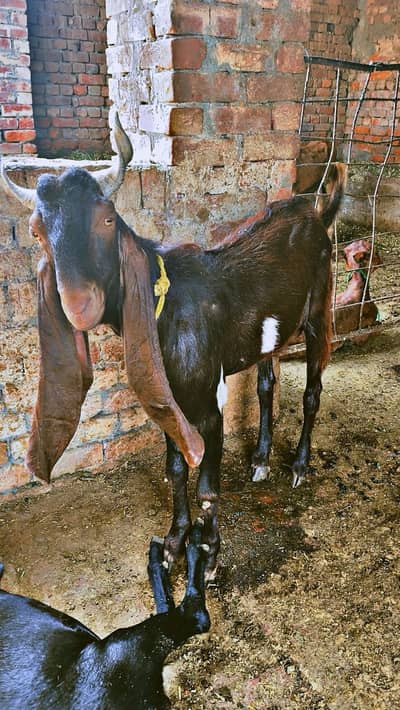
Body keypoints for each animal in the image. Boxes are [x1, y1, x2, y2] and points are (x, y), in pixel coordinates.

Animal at [0, 112, 345, 577]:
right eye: (36, 232)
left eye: (107, 220)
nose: (78, 305)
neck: (166, 304)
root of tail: (316, 212)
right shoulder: (168, 400)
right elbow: (176, 469)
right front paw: (173, 543)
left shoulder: (208, 404)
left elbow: (207, 484)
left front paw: (210, 554)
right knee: (266, 385)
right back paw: (259, 460)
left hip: (319, 310)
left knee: (312, 392)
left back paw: (299, 466)